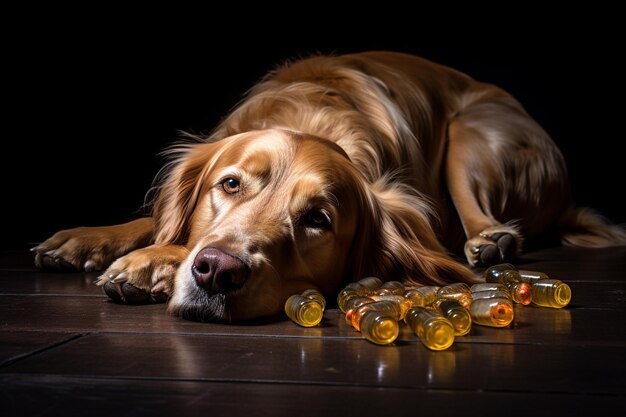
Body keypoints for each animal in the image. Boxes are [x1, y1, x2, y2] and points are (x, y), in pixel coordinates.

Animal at [33, 50, 624, 320]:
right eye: (229, 185)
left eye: (317, 220)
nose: (217, 270)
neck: (313, 117)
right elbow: (154, 220)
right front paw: (93, 240)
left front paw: (150, 264)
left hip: (472, 131)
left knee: (484, 214)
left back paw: (489, 240)